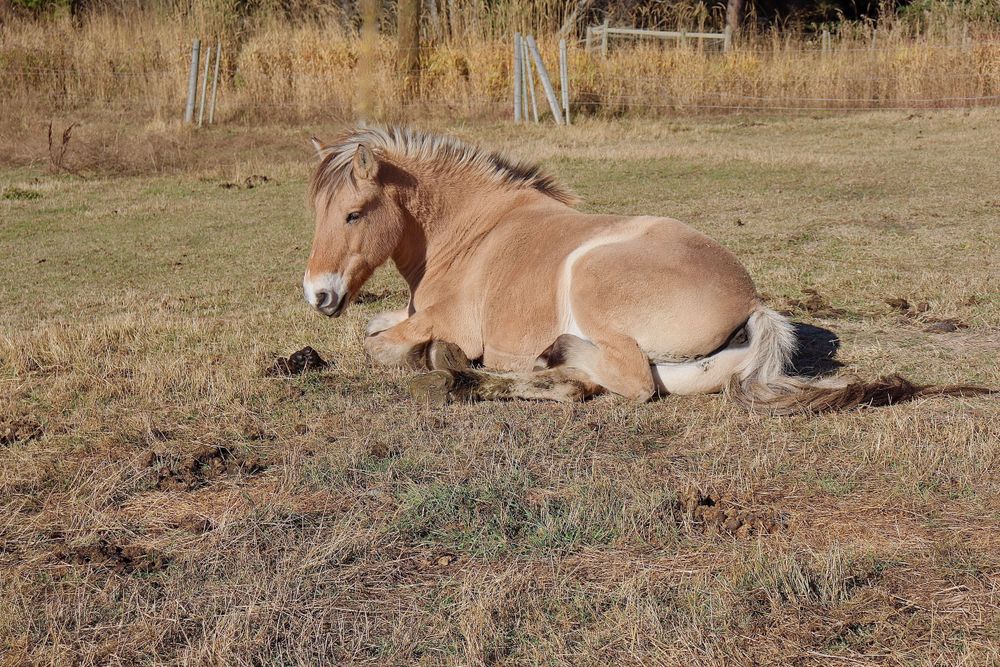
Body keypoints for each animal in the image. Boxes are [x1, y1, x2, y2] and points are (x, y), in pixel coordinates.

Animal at [302, 125, 990, 413]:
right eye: (318, 211)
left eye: (355, 214)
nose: (318, 296)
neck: (471, 230)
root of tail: (753, 303)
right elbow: (379, 331)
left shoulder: (445, 323)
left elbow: (379, 347)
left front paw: (431, 358)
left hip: (588, 275)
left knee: (627, 382)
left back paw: (517, 365)